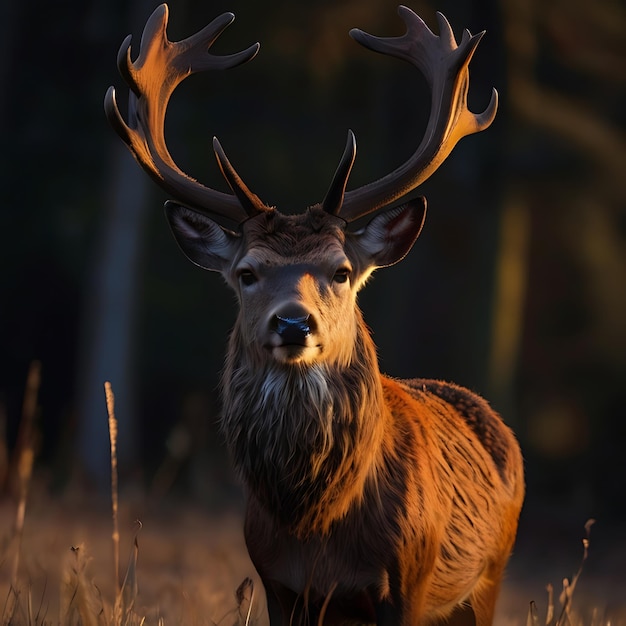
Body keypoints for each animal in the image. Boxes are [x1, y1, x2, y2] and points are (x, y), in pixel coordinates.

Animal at [106, 6, 520, 624]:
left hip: (488, 578)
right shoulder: (278, 583)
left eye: (341, 271)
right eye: (247, 272)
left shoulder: (409, 582)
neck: (316, 524)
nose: (294, 323)